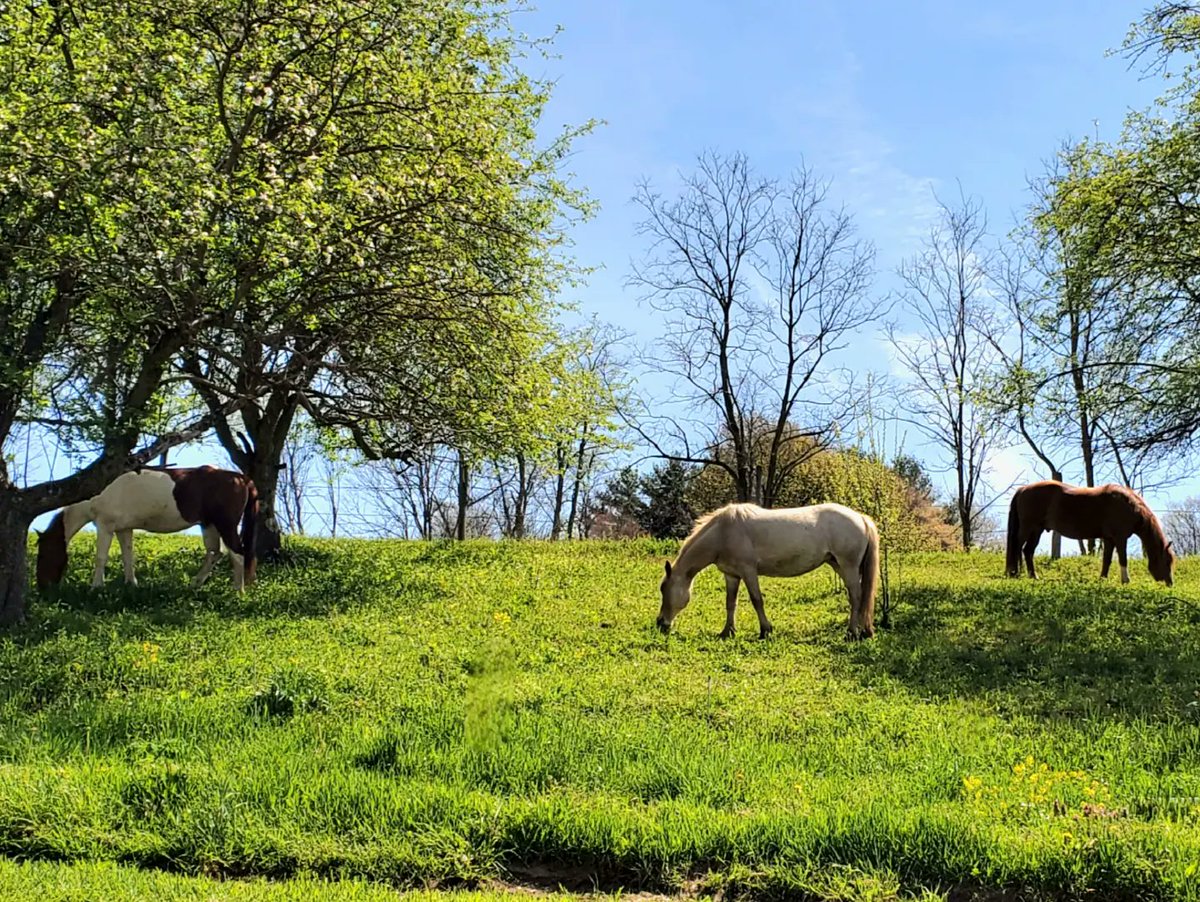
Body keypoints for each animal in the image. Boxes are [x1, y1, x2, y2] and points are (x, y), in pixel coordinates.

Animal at [35, 466, 259, 592]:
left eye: (43, 555)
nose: (42, 586)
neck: (96, 492)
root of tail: (241, 478)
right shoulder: (123, 529)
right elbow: (128, 556)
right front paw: (131, 584)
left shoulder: (105, 526)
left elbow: (101, 558)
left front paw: (96, 587)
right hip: (209, 525)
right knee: (214, 553)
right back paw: (195, 584)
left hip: (225, 525)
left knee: (237, 553)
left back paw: (238, 590)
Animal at [656, 502, 880, 641]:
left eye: (663, 589)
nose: (660, 623)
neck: (723, 532)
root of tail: (860, 517)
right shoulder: (732, 575)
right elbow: (730, 603)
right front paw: (727, 632)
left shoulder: (748, 571)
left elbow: (757, 600)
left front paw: (765, 630)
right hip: (838, 565)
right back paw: (863, 631)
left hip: (848, 566)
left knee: (856, 597)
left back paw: (851, 633)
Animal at [1005, 480, 1175, 586]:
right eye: (1167, 561)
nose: (1170, 583)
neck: (1128, 506)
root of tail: (1023, 489)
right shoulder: (1120, 538)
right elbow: (1123, 559)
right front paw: (1126, 581)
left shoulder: (1109, 539)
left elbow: (1107, 560)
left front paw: (1103, 579)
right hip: (1028, 528)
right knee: (1017, 547)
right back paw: (1014, 573)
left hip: (1037, 530)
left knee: (1028, 551)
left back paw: (1033, 576)